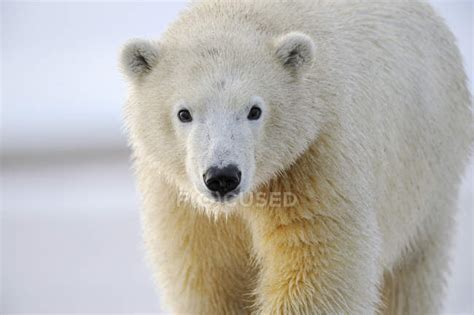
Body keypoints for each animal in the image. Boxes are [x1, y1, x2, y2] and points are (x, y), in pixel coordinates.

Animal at [120, 0, 472, 314]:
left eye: (255, 110)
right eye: (184, 113)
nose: (222, 176)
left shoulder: (314, 157)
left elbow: (318, 265)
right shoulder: (181, 204)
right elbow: (208, 279)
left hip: (428, 177)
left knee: (409, 279)